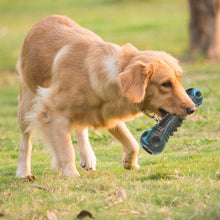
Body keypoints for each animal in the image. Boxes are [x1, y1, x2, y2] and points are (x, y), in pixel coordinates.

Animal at [16, 15, 197, 177]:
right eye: (165, 84)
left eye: (179, 79)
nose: (192, 108)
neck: (116, 72)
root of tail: (42, 21)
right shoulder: (52, 111)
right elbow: (66, 150)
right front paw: (70, 173)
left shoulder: (106, 113)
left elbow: (132, 144)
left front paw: (129, 163)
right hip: (26, 105)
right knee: (25, 141)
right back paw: (23, 172)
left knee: (80, 128)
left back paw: (87, 156)